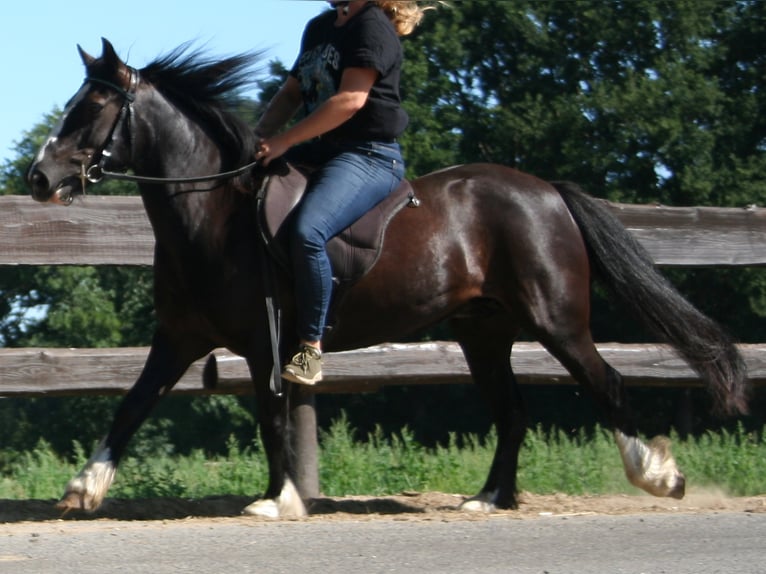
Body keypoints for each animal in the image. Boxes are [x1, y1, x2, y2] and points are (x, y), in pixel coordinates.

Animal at [28, 39, 752, 516]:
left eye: (91, 108)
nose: (39, 177)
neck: (213, 213)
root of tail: (547, 191)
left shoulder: (264, 338)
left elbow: (271, 413)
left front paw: (279, 499)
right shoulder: (179, 337)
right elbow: (132, 404)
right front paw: (83, 489)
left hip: (556, 320)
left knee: (607, 383)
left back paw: (658, 477)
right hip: (483, 333)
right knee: (513, 411)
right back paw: (489, 497)